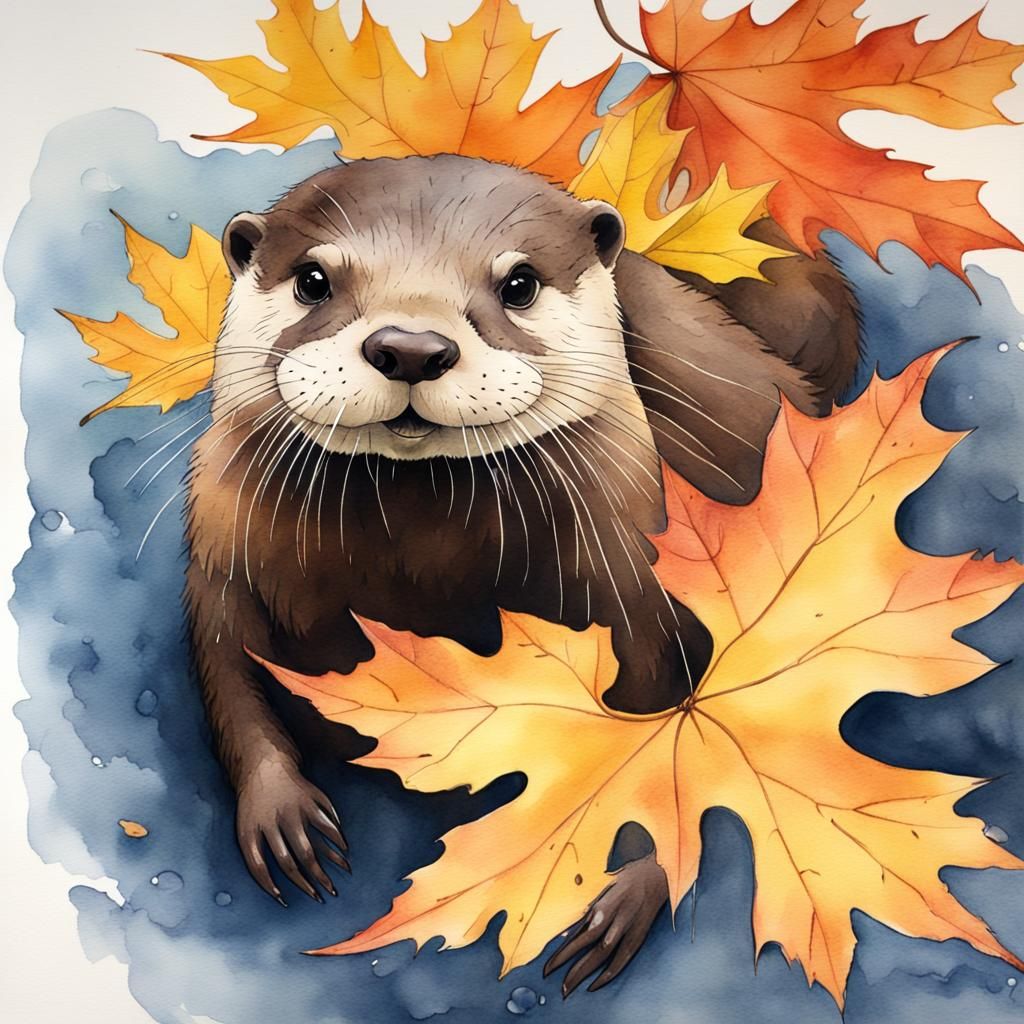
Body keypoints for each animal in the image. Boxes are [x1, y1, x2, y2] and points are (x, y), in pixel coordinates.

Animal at [184, 154, 859, 995]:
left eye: (519, 283)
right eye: (313, 279)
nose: (412, 346)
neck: (421, 576)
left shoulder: (633, 568)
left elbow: (658, 722)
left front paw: (628, 889)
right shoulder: (218, 544)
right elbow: (227, 669)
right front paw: (283, 816)